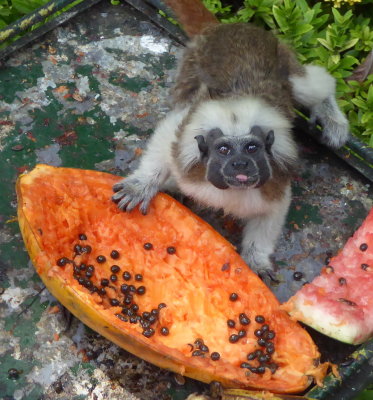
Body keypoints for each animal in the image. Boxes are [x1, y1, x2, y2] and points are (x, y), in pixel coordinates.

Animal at [109, 0, 346, 278]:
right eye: (224, 150)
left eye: (252, 148)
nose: (240, 165)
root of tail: (230, 27)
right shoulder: (185, 144)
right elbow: (167, 135)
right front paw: (142, 185)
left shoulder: (273, 182)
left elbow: (273, 213)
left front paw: (256, 261)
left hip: (281, 57)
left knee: (312, 87)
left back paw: (332, 117)